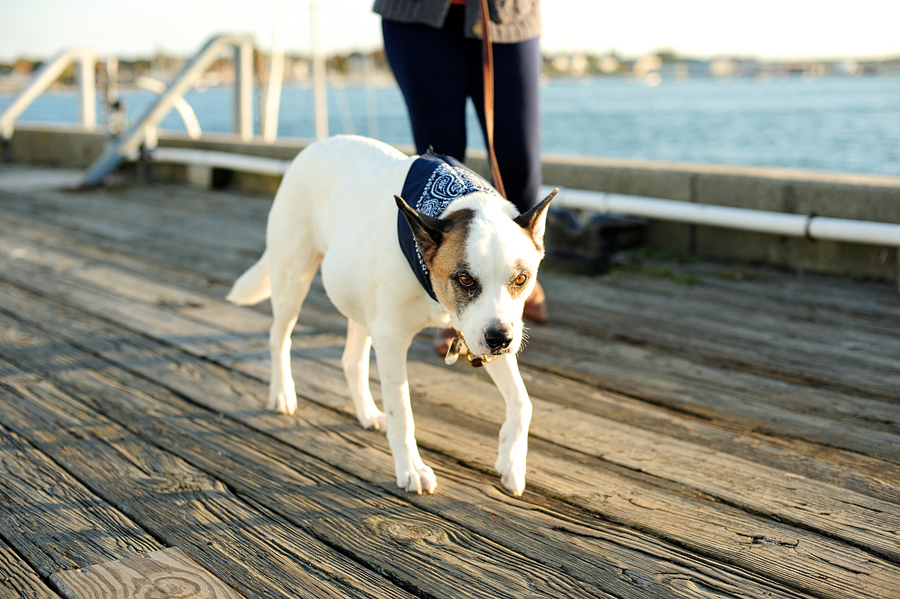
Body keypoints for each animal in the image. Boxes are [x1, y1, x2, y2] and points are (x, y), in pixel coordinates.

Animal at [229, 137, 552, 496]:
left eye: (521, 279)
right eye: (465, 280)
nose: (501, 340)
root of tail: (316, 144)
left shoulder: (484, 328)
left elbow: (523, 402)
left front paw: (511, 460)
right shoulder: (392, 338)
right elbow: (403, 411)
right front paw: (411, 468)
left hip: (359, 297)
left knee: (351, 360)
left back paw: (368, 413)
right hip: (292, 278)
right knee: (279, 336)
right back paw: (283, 393)